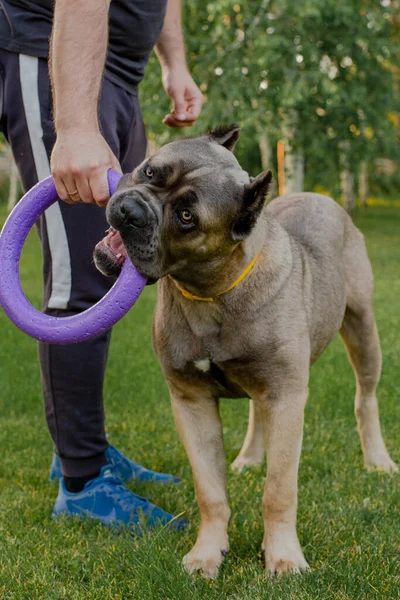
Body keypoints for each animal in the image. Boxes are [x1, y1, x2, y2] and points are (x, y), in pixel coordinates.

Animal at [94, 125, 396, 576]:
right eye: (149, 171)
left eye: (186, 217)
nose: (130, 210)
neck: (211, 292)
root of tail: (323, 198)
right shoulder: (192, 401)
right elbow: (210, 491)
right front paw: (207, 553)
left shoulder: (287, 399)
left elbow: (279, 491)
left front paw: (284, 557)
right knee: (258, 410)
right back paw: (250, 458)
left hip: (363, 331)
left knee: (366, 398)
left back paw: (377, 460)